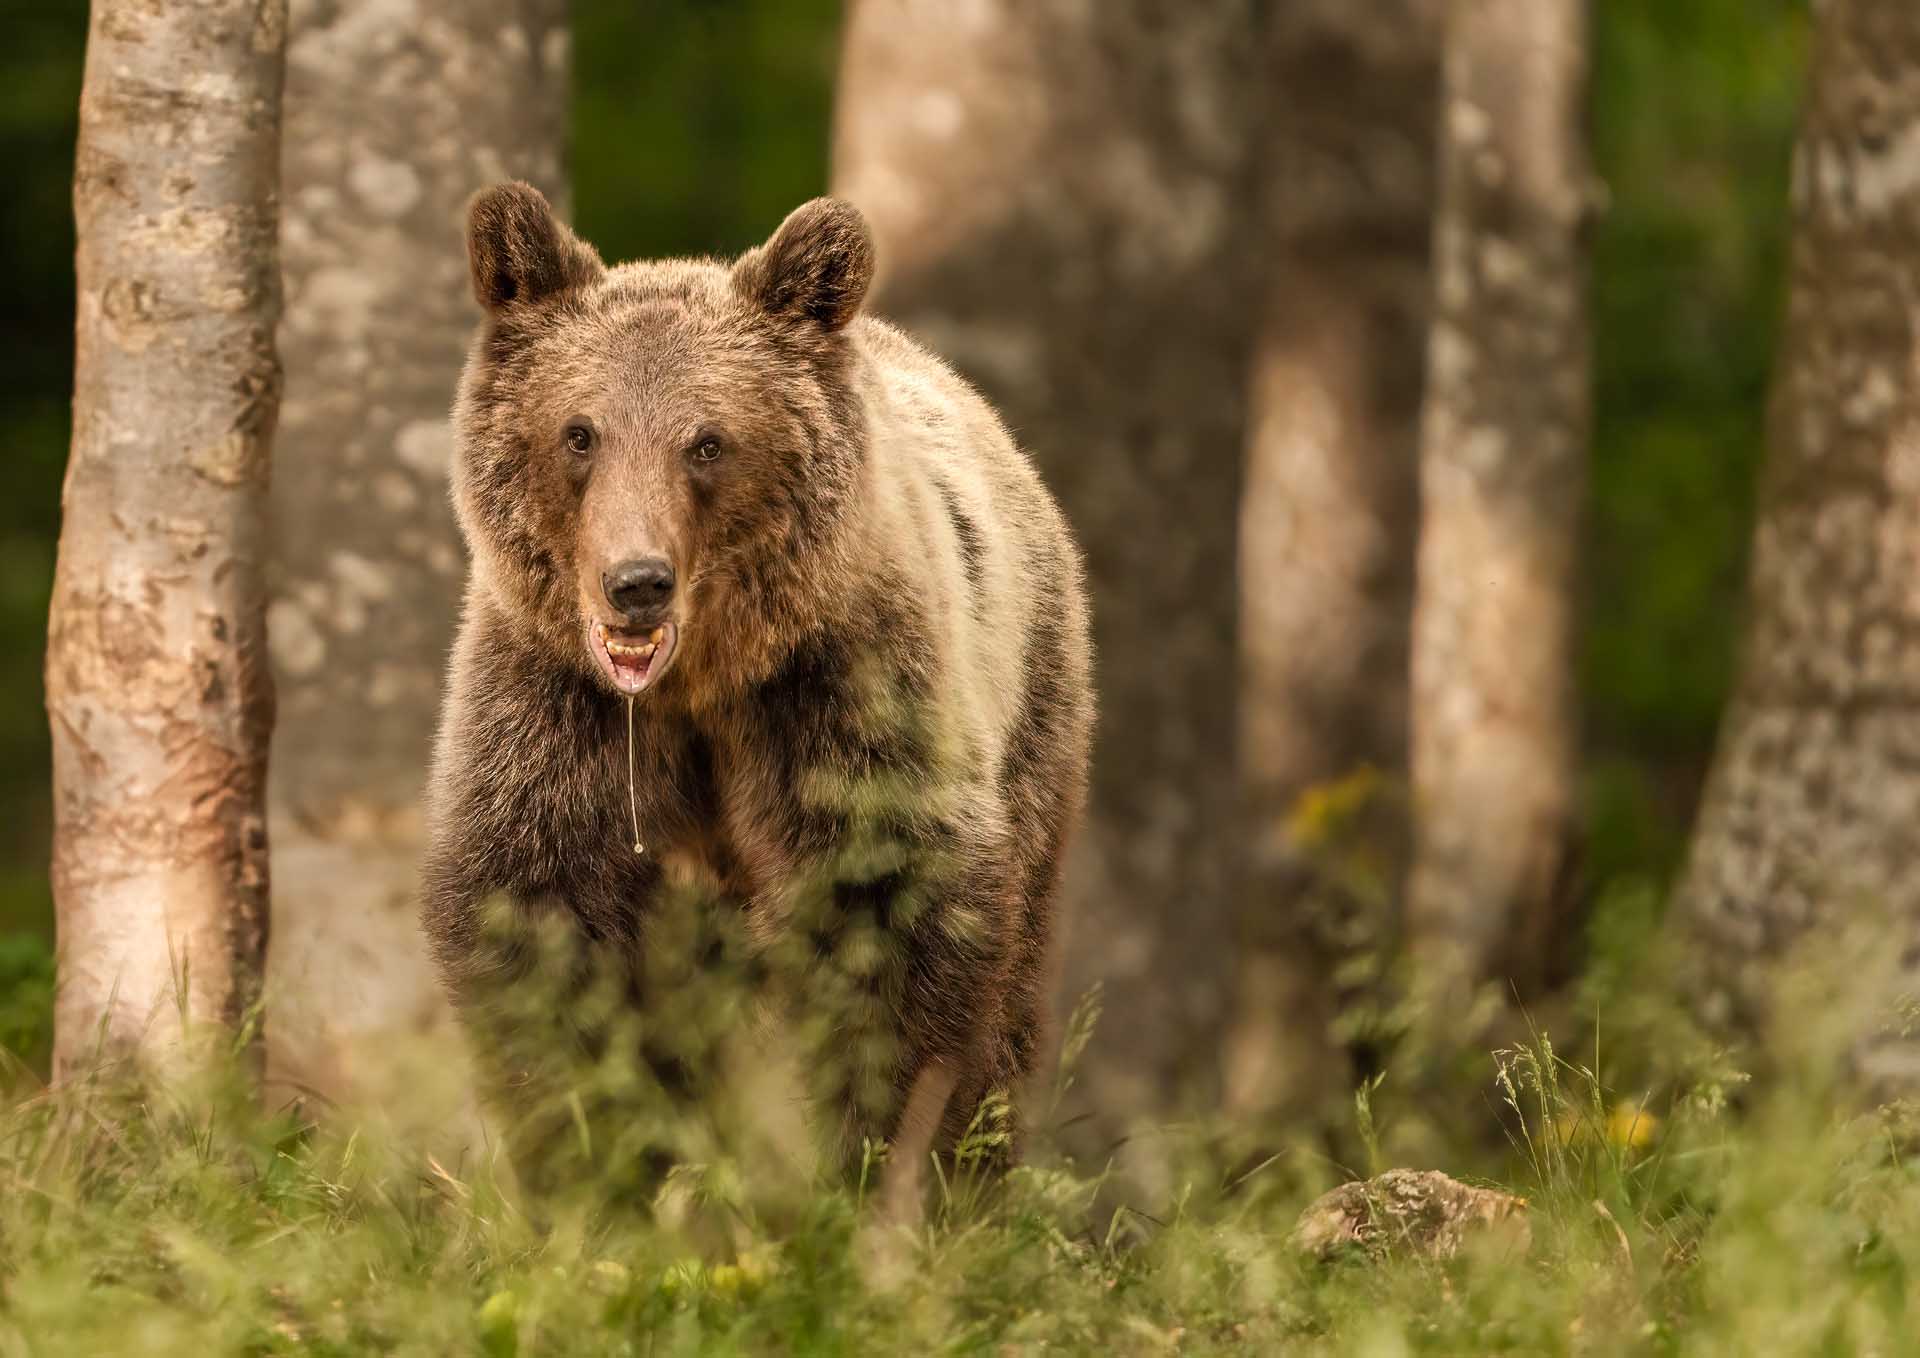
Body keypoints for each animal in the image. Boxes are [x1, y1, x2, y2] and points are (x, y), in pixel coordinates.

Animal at [420, 182, 1094, 1212]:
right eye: (580, 432)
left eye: (707, 441)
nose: (636, 581)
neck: (703, 685)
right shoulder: (560, 706)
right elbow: (541, 908)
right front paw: (600, 1168)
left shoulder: (840, 694)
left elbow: (893, 921)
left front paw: (880, 1171)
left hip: (1032, 717)